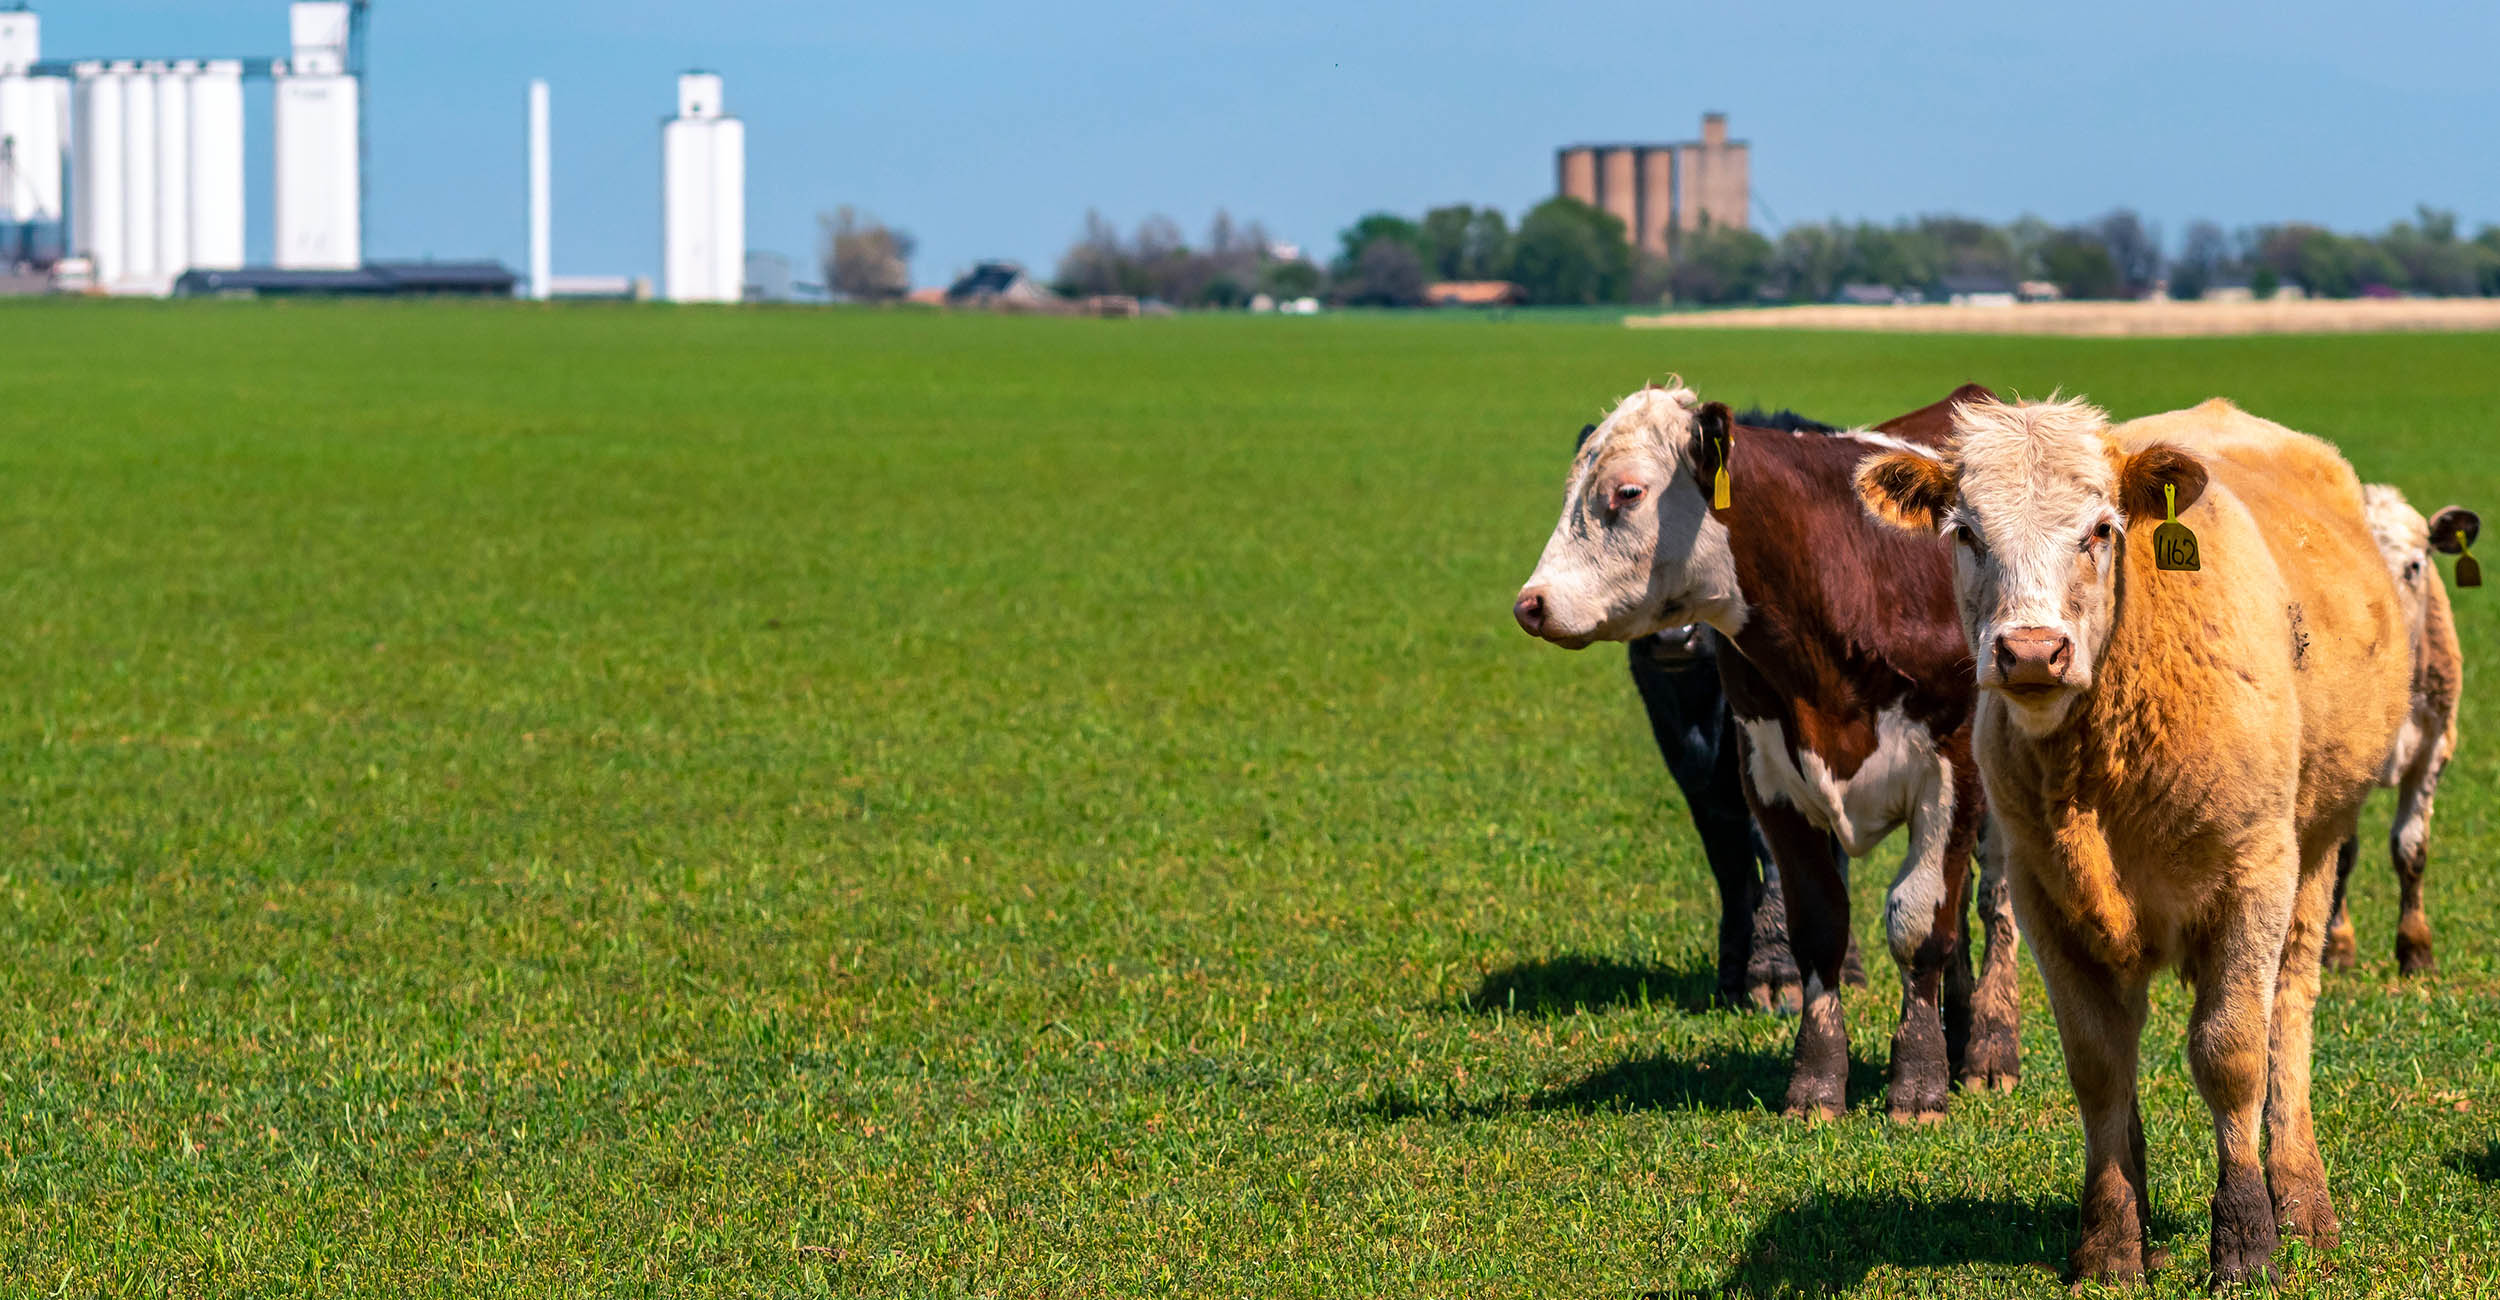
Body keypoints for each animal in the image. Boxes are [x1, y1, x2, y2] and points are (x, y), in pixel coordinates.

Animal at [1514, 380, 2023, 1122]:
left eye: (1628, 492)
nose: (1531, 604)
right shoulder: (1770, 777)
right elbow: (1819, 924)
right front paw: (1815, 1086)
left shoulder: (1949, 772)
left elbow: (1917, 923)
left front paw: (1918, 1085)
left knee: (1994, 906)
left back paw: (1988, 1048)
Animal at [1856, 395, 2411, 1284]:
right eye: (1966, 532)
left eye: (2101, 530)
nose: (2032, 652)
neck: (2101, 766)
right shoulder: (2047, 896)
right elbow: (2098, 1065)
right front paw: (2112, 1243)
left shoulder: (2256, 874)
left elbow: (2231, 1053)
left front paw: (2247, 1241)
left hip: (2320, 845)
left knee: (2289, 1012)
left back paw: (2302, 1198)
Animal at [2322, 489, 2476, 974]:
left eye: (2415, 565)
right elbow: (2344, 853)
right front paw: (2338, 944)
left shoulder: (2435, 748)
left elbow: (2411, 848)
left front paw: (2415, 947)